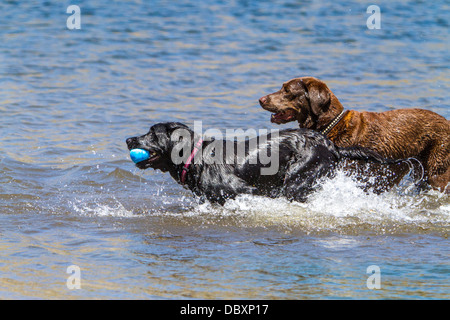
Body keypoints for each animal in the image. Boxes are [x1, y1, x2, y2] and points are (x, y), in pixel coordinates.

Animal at [125, 122, 392, 205]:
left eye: (152, 133)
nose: (128, 139)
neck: (196, 157)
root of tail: (332, 146)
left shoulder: (244, 190)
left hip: (297, 180)